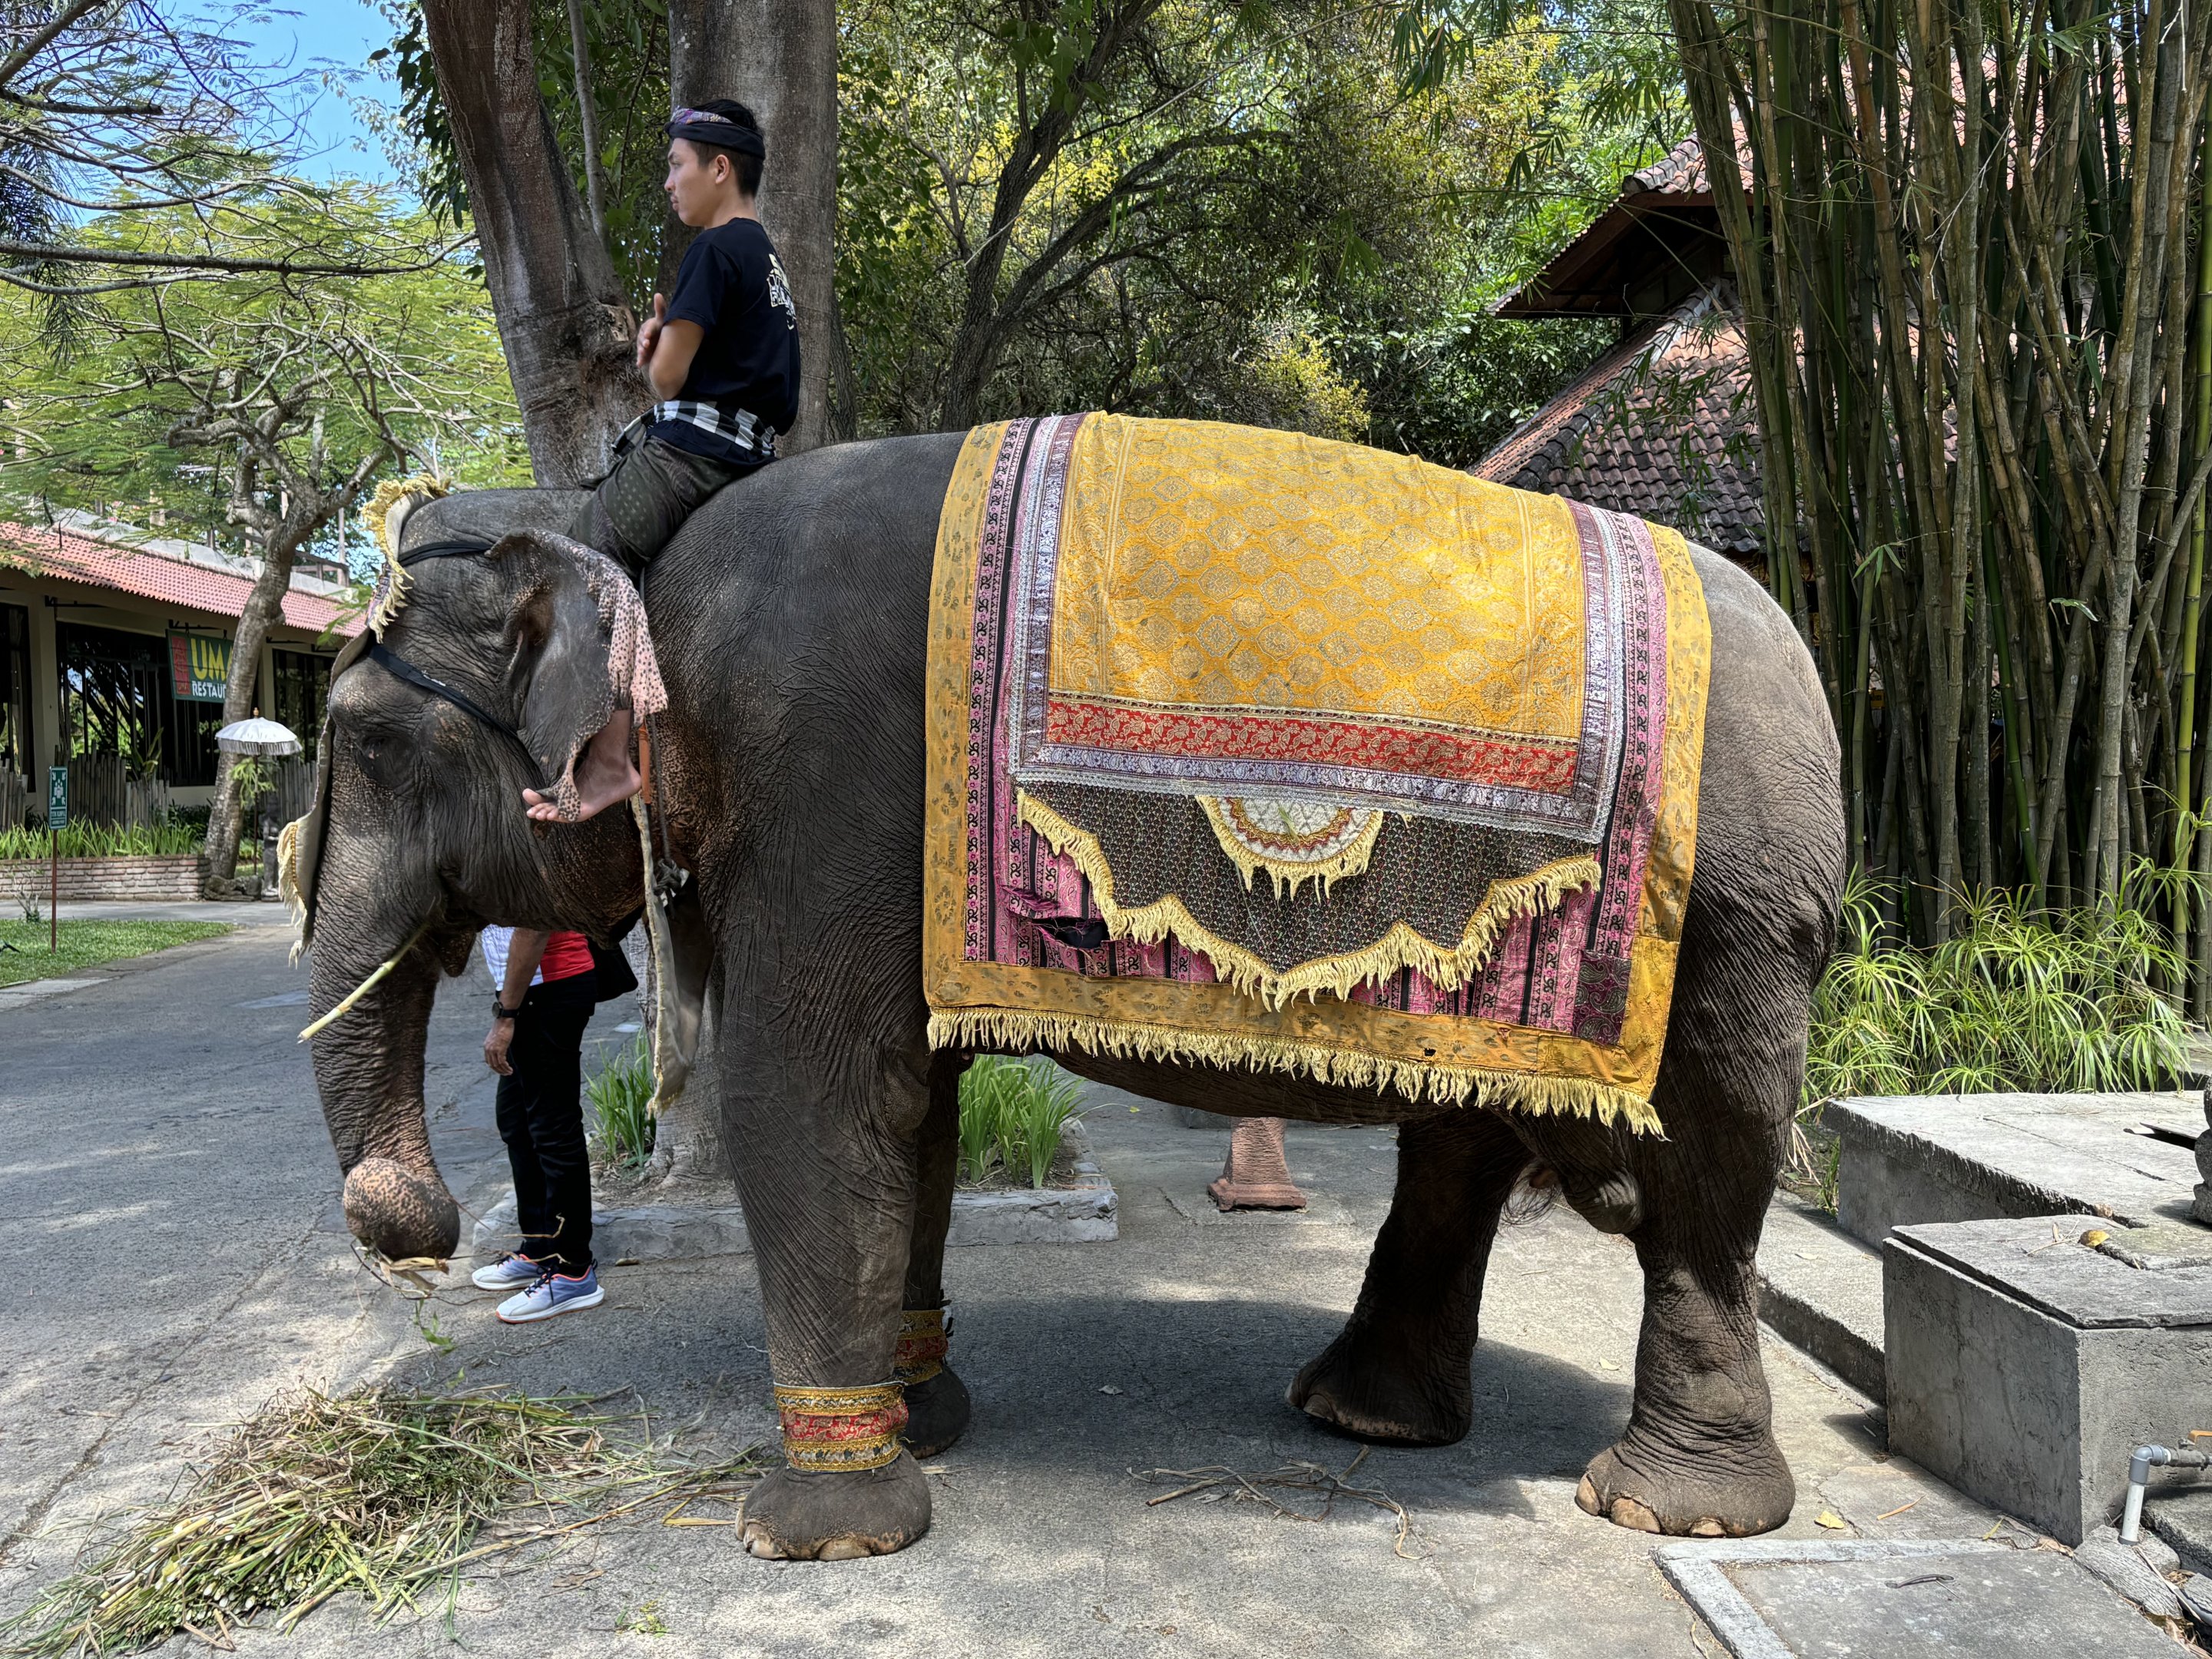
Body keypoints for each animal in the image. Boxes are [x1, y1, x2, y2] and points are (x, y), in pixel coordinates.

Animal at [296, 430, 1844, 1562]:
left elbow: (811, 1094)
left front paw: (815, 1537)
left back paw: (1670, 1508)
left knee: (1706, 1179)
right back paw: (1369, 1420)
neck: (620, 532)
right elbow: (911, 1110)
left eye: (365, 745)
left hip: (1739, 922)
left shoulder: (820, 785)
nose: (414, 1235)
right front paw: (921, 1420)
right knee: (1461, 1141)